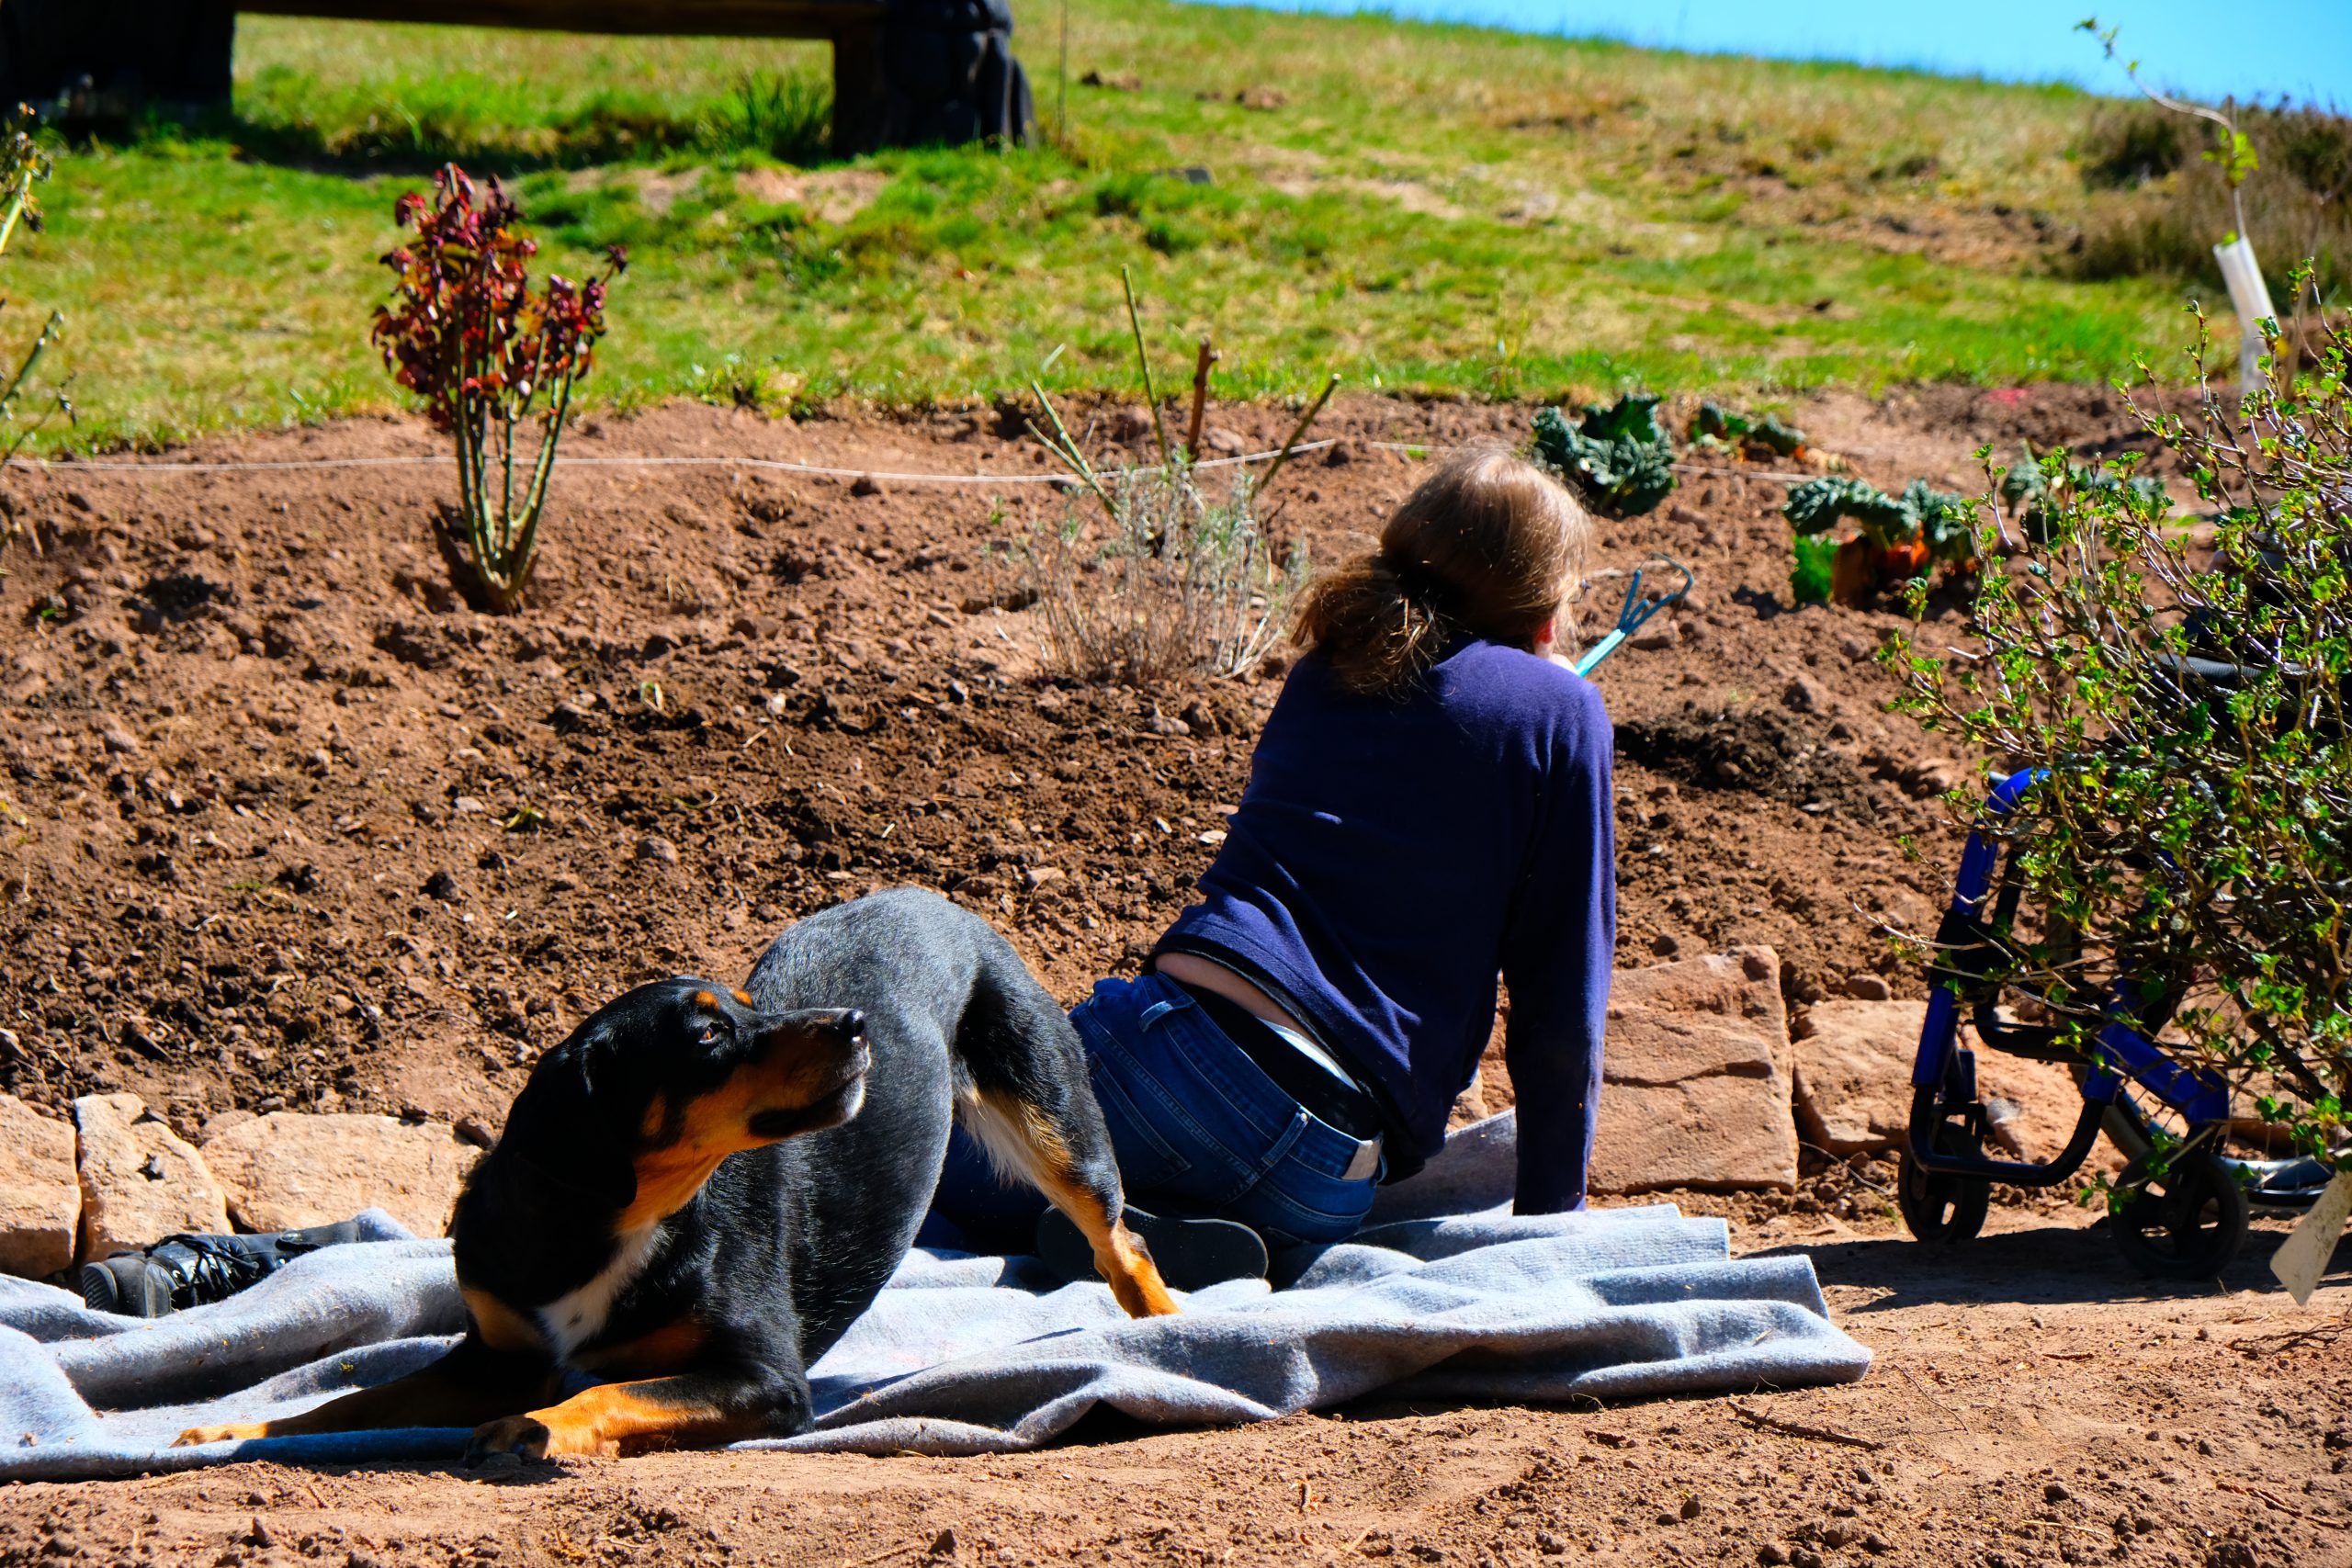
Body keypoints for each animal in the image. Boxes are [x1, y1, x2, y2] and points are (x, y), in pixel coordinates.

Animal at [170, 893, 1176, 1457]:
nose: (854, 1025)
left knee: (1118, 1242)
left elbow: (607, 1388)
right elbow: (353, 1398)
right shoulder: (487, 1358)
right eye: (708, 1033)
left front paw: (536, 1429)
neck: (613, 1217)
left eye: (746, 1010)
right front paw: (230, 1429)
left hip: (1058, 1122)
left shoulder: (763, 1378)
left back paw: (1165, 1326)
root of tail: (931, 897)